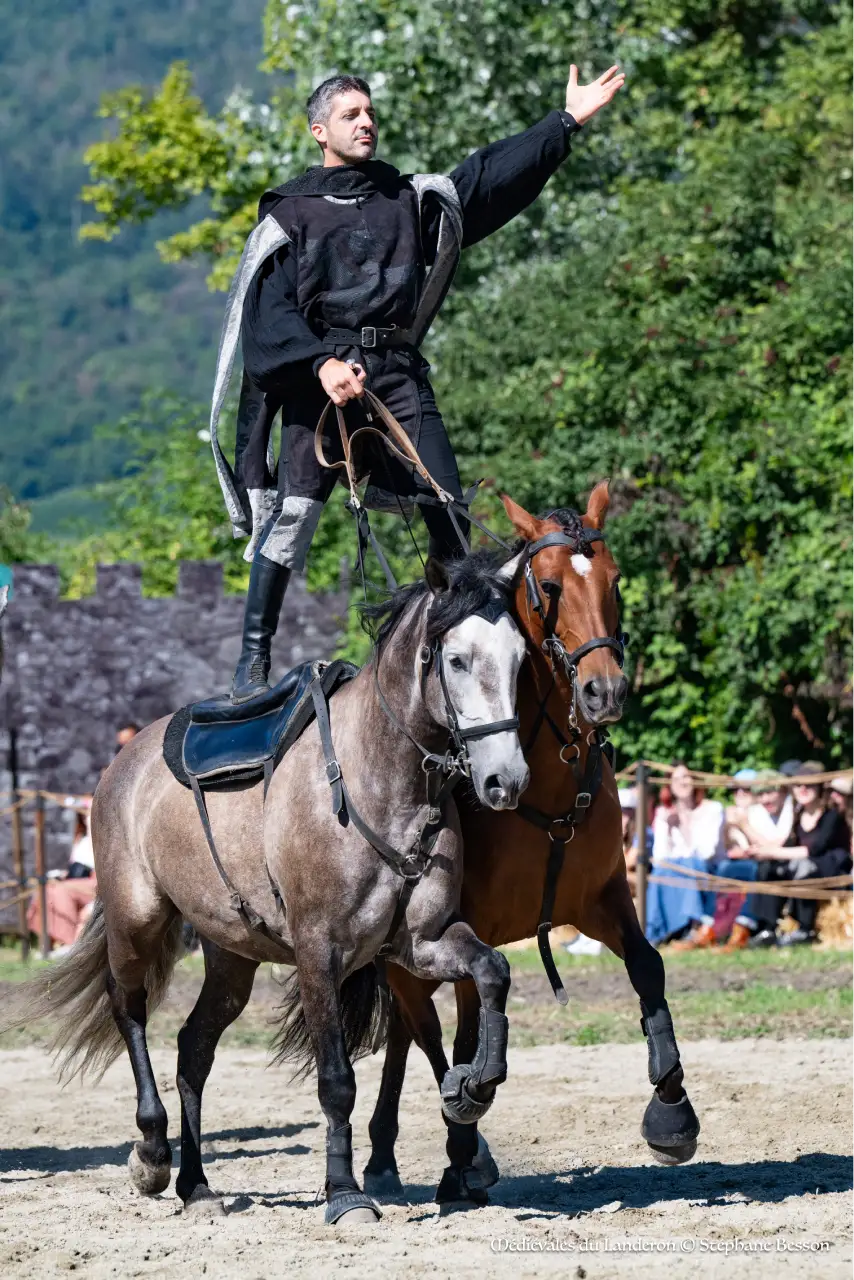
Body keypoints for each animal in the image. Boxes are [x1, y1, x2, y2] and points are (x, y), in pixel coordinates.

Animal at [1, 548, 531, 1226]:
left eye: (519, 659)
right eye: (457, 659)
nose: (504, 781)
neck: (376, 780)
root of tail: (125, 760)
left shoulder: (425, 941)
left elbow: (493, 971)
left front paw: (474, 1087)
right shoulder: (319, 952)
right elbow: (337, 1080)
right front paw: (345, 1193)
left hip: (232, 957)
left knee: (194, 1047)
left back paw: (197, 1184)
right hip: (137, 920)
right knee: (129, 1009)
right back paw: (152, 1153)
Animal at [362, 483, 700, 1204]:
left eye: (614, 580)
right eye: (547, 587)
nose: (605, 691)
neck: (545, 773)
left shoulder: (602, 900)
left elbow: (648, 967)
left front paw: (672, 1109)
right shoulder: (462, 930)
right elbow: (466, 1032)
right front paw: (464, 1136)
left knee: (406, 1033)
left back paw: (386, 1154)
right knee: (423, 1031)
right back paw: (451, 1146)